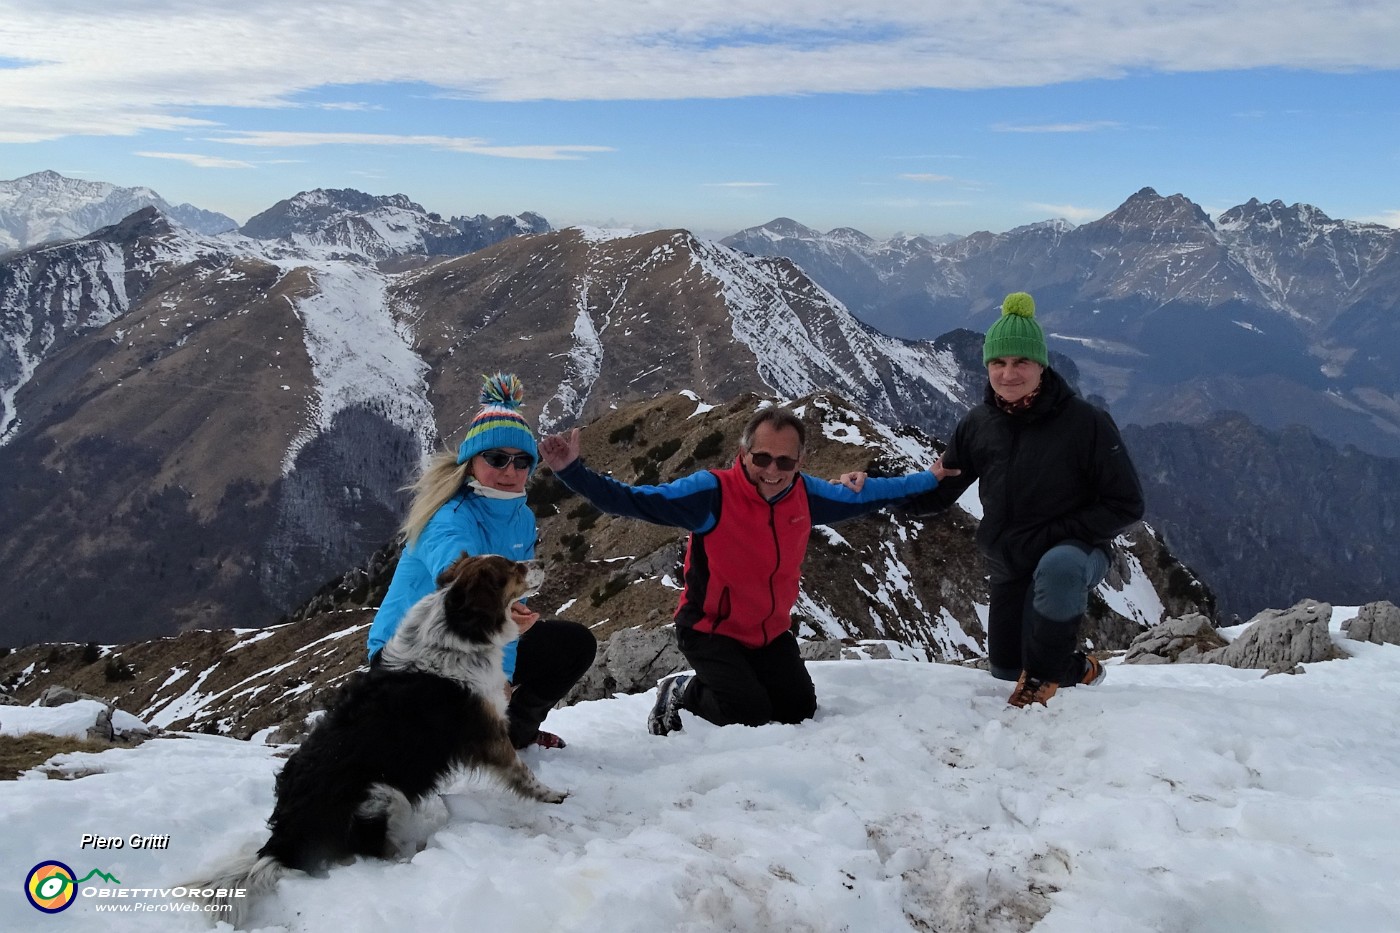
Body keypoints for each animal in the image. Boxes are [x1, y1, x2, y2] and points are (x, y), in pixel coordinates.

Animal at [189, 551, 565, 924]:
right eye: (511, 568)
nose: (540, 562)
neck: (456, 629)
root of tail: (283, 843)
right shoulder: (487, 733)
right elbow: (522, 773)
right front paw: (553, 795)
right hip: (383, 793)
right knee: (373, 852)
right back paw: (410, 859)